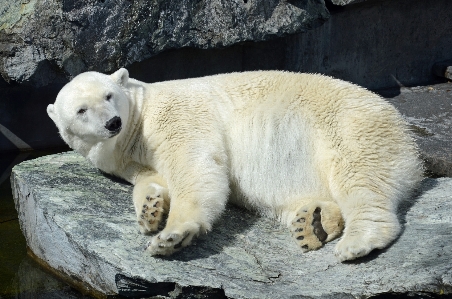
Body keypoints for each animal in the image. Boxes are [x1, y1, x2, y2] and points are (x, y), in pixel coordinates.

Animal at [46, 69, 424, 262]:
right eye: (81, 110)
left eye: (109, 95)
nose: (112, 122)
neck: (137, 120)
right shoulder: (125, 158)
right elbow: (150, 177)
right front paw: (150, 211)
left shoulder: (176, 116)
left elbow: (194, 165)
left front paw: (172, 237)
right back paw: (311, 223)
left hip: (351, 128)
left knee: (359, 177)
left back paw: (357, 242)